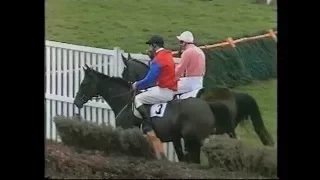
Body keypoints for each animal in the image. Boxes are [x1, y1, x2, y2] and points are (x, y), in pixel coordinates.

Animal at [73, 64, 229, 163]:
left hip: (192, 141)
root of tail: (207, 105)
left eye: (84, 84)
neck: (125, 101)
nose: (76, 102)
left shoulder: (125, 131)